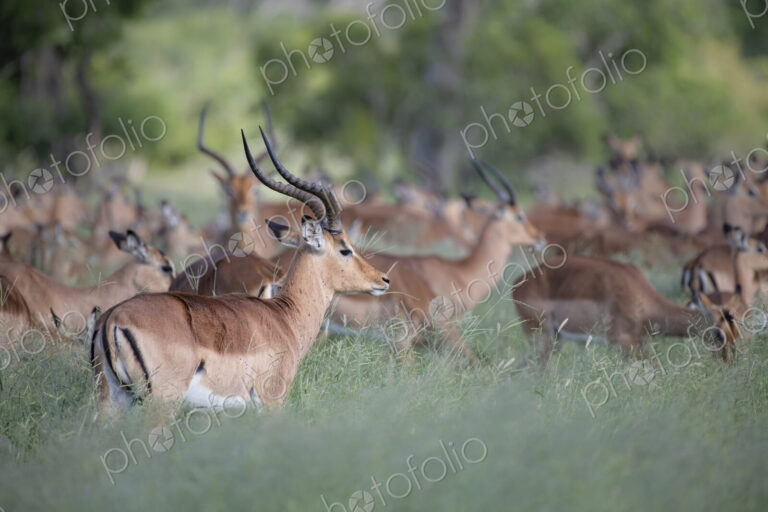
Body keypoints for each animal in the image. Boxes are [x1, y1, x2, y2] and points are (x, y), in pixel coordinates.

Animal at [90, 127, 390, 417]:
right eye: (344, 249)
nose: (383, 279)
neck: (284, 316)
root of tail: (112, 319)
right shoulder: (270, 402)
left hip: (112, 402)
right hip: (162, 403)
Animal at [513, 255, 738, 365]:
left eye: (736, 330)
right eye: (718, 333)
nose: (728, 363)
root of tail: (518, 282)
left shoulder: (636, 343)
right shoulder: (624, 342)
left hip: (556, 340)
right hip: (542, 336)